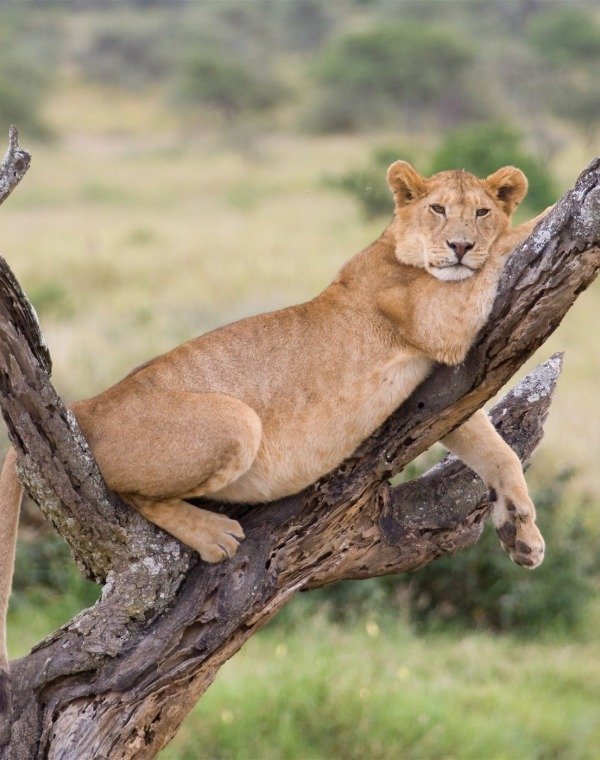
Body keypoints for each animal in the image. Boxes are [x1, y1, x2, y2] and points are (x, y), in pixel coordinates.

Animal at [0, 161, 550, 703]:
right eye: (437, 209)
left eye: (480, 211)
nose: (461, 245)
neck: (396, 249)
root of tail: (87, 403)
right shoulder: (437, 320)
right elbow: (511, 242)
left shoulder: (442, 387)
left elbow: (496, 452)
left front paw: (522, 534)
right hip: (236, 419)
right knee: (131, 491)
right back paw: (215, 535)